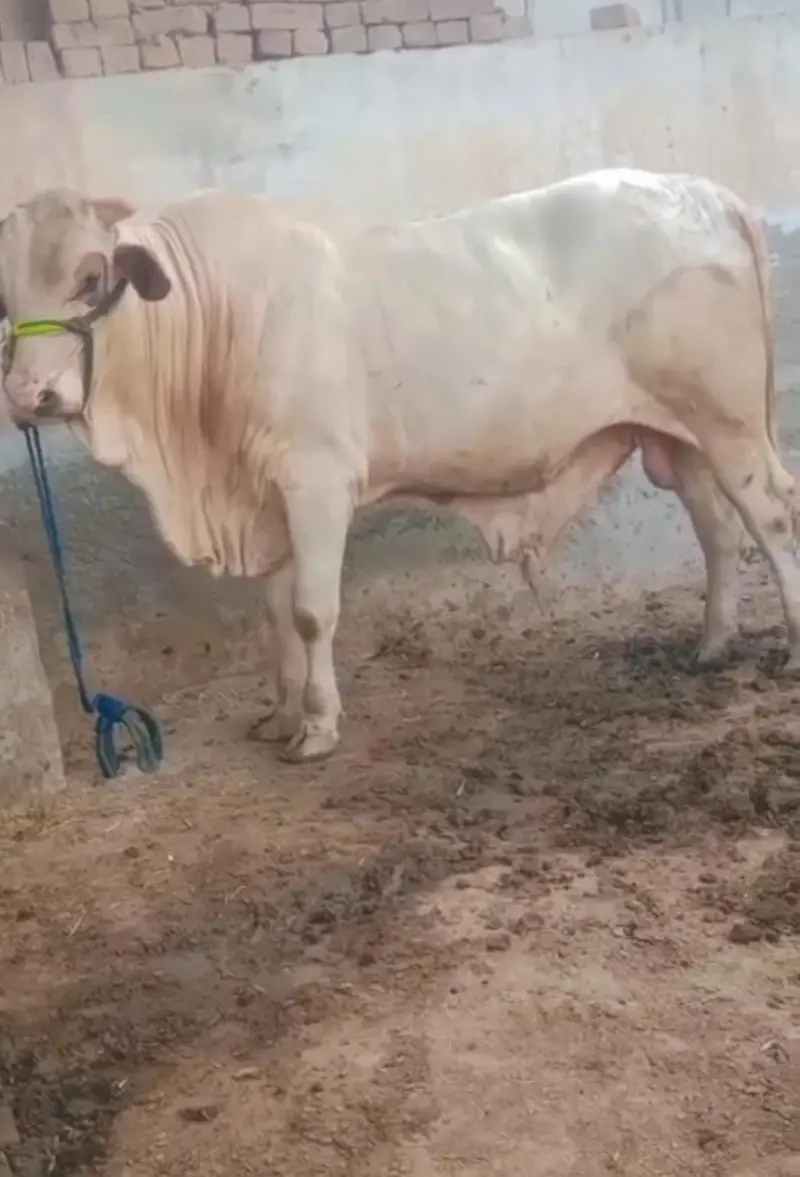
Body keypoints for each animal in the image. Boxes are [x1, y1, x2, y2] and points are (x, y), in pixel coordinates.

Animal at [0, 168, 797, 764]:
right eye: (6, 296)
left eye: (91, 276)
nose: (29, 396)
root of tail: (705, 192)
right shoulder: (266, 498)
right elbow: (275, 615)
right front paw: (280, 713)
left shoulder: (317, 480)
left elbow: (312, 611)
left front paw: (317, 726)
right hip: (678, 438)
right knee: (717, 528)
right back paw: (712, 643)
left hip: (728, 423)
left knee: (771, 517)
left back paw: (788, 648)